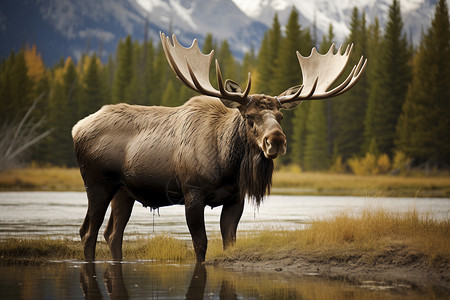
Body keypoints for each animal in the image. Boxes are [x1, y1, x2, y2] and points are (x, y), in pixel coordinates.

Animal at [73, 32, 366, 262]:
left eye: (280, 117)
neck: (226, 165)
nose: (276, 141)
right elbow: (200, 246)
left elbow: (229, 242)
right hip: (97, 183)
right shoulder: (192, 192)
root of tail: (76, 128)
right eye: (249, 117)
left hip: (125, 191)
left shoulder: (235, 198)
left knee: (113, 234)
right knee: (88, 232)